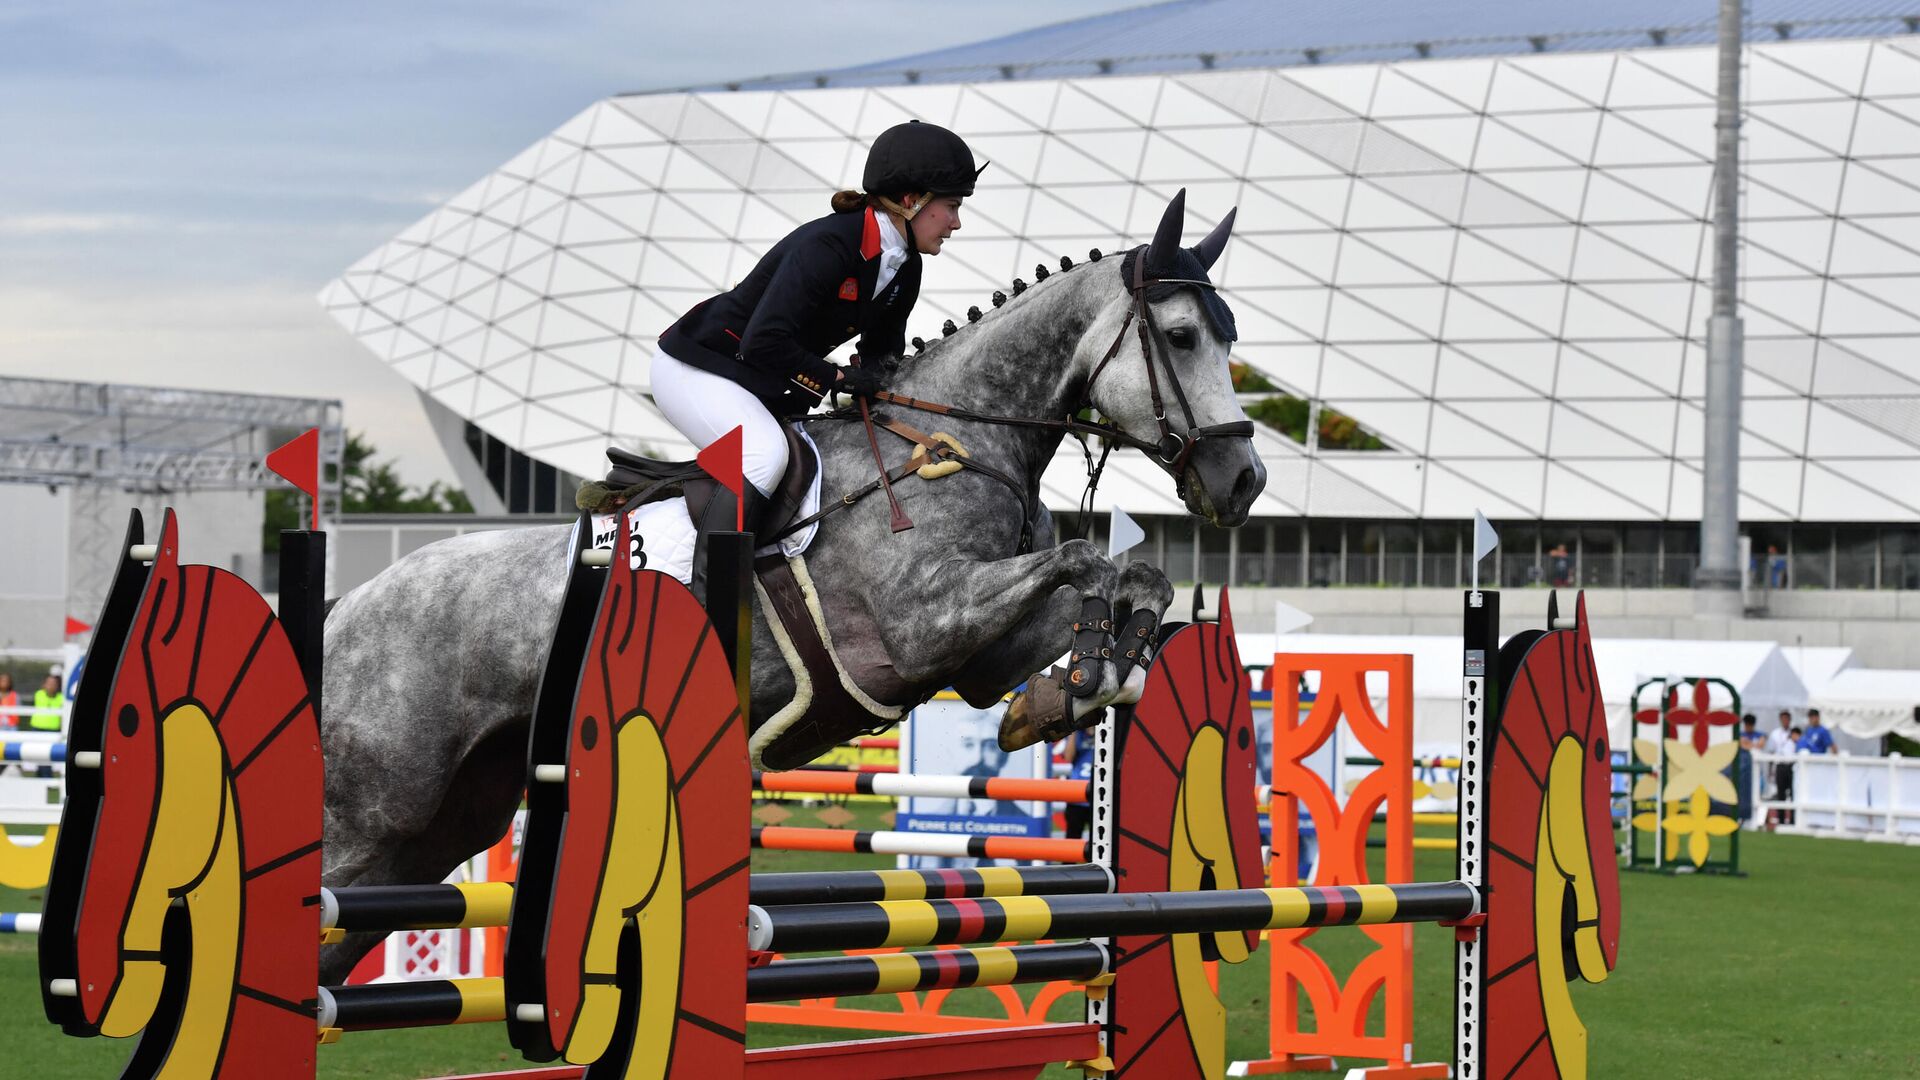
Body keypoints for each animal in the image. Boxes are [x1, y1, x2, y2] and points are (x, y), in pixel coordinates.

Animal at [322, 189, 1267, 980]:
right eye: (1182, 337)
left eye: (1231, 340)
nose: (1244, 482)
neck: (960, 446)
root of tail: (347, 611)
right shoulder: (920, 625)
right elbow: (1082, 559)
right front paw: (1087, 673)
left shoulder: (977, 657)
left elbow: (1132, 576)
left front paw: (1073, 688)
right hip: (377, 810)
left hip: (449, 821)